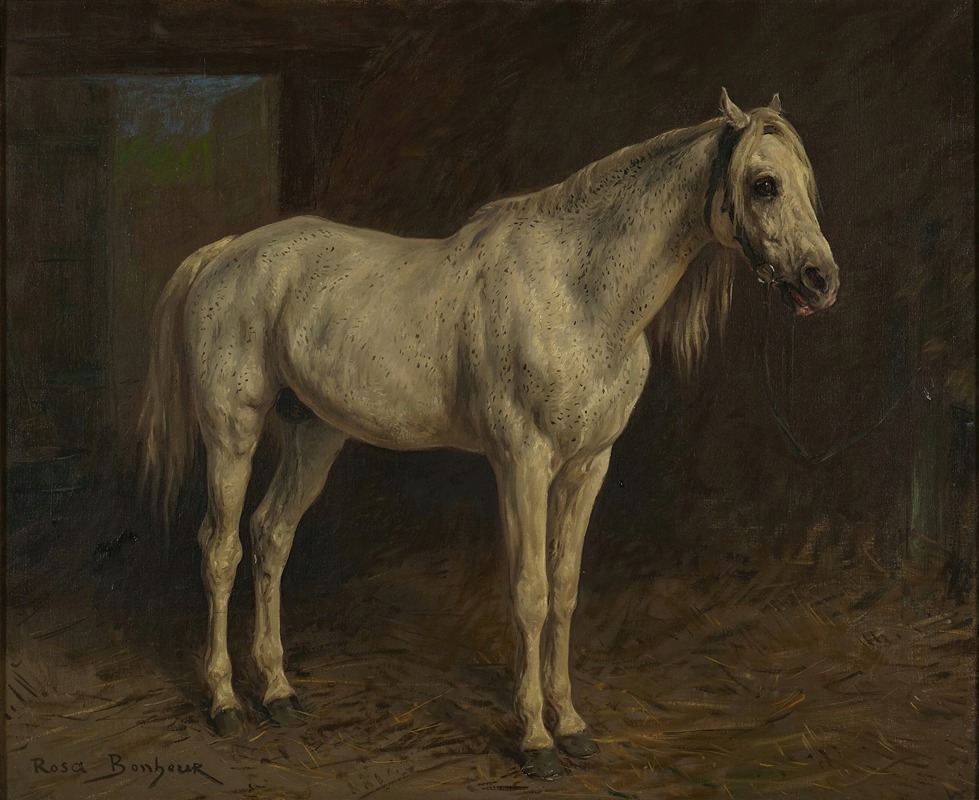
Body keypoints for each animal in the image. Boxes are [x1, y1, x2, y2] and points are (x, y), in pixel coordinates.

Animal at [139, 89, 839, 780]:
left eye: (807, 183)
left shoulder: (588, 466)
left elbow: (565, 591)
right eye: (765, 184)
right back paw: (227, 704)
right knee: (221, 549)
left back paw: (280, 694)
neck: (577, 294)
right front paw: (536, 740)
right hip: (232, 433)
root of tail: (226, 253)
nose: (821, 279)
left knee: (271, 536)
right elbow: (530, 593)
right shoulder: (522, 463)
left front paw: (573, 726)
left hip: (315, 435)